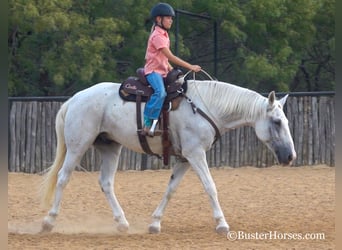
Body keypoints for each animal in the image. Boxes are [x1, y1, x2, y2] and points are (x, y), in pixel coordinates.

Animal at [40, 76, 296, 234]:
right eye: (276, 121)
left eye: (286, 121)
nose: (290, 156)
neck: (207, 107)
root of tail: (74, 99)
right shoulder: (196, 154)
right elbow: (210, 186)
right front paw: (222, 224)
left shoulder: (185, 158)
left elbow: (171, 189)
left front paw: (154, 224)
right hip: (78, 146)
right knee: (63, 178)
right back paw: (49, 221)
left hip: (110, 147)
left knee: (106, 183)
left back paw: (122, 222)